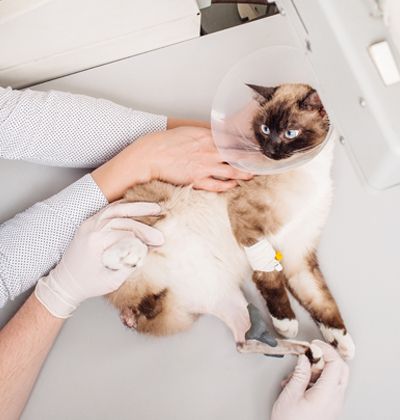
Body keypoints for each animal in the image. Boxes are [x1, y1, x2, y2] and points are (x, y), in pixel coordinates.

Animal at [101, 83, 354, 360]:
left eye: (290, 133)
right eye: (265, 129)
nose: (270, 152)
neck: (309, 172)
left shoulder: (299, 255)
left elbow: (322, 302)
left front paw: (343, 344)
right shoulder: (247, 224)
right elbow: (270, 278)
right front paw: (287, 323)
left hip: (225, 295)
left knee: (244, 341)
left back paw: (310, 350)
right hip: (157, 209)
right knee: (125, 244)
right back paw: (127, 254)